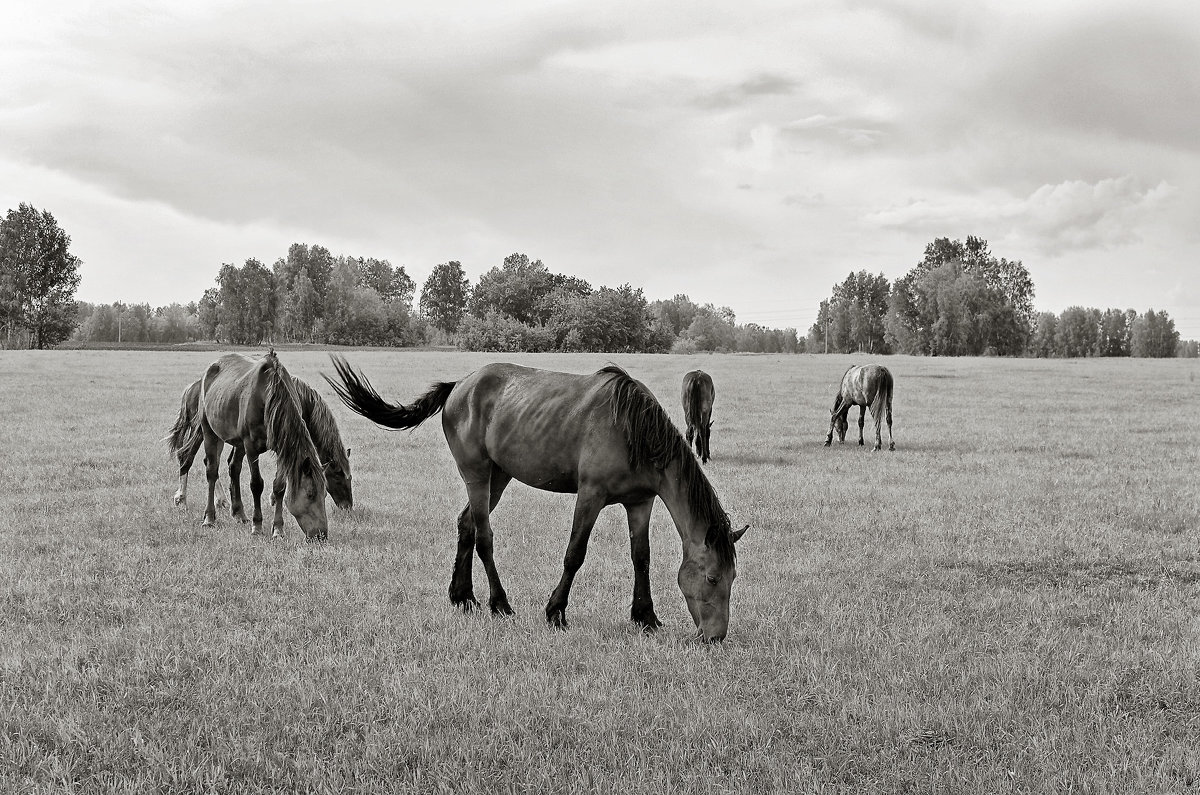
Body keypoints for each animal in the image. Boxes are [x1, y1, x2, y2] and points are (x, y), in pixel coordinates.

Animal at [166, 353, 331, 542]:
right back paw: (209, 517)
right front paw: (257, 525)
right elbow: (256, 484)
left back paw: (239, 513)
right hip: (210, 432)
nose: (321, 535)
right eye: (310, 494)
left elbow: (279, 487)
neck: (270, 396)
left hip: (236, 441)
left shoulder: (282, 447)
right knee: (211, 471)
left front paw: (278, 529)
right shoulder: (251, 446)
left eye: (325, 494)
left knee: (233, 467)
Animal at [170, 379, 355, 516]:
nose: (348, 507)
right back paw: (181, 499)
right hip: (203, 432)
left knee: (208, 462)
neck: (301, 401)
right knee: (187, 456)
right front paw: (274, 498)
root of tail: (192, 388)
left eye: (350, 478)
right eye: (338, 477)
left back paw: (221, 500)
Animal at [324, 357, 744, 643]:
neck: (634, 430)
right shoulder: (590, 496)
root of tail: (460, 385)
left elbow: (641, 558)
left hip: (498, 477)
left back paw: (463, 597)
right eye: (711, 577)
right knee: (483, 537)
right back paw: (499, 603)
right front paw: (555, 611)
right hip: (477, 474)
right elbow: (575, 554)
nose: (716, 637)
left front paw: (645, 617)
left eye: (732, 577)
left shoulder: (640, 503)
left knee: (465, 525)